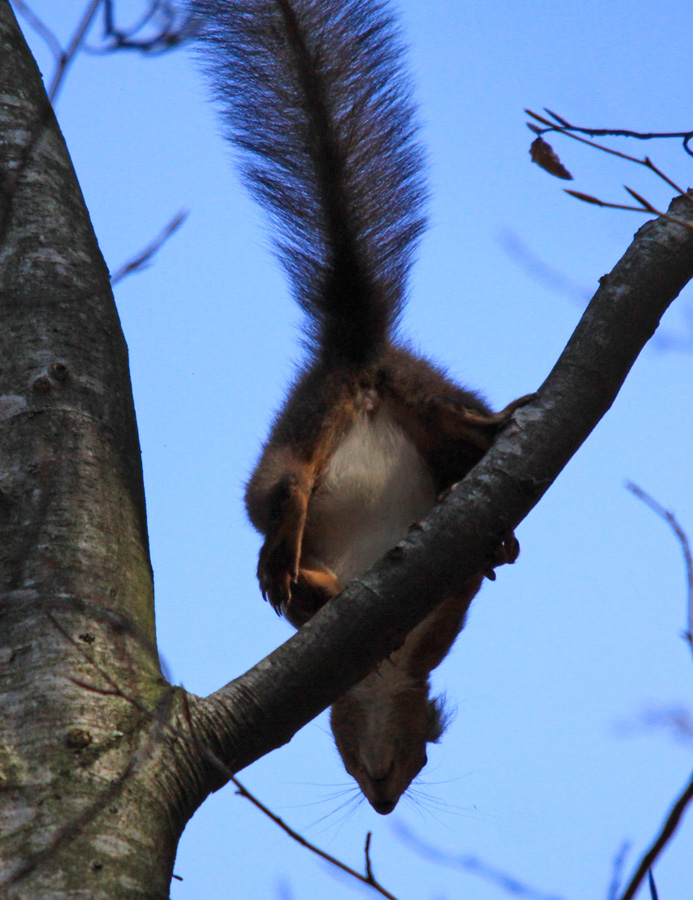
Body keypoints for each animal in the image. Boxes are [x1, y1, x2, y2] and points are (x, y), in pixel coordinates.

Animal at [192, 0, 528, 816]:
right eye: (349, 763)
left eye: (418, 758)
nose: (383, 801)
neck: (383, 672)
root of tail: (355, 358)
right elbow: (314, 605)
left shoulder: (442, 606)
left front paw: (496, 552)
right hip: (318, 429)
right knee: (288, 485)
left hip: (408, 409)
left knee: (444, 437)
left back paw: (495, 434)